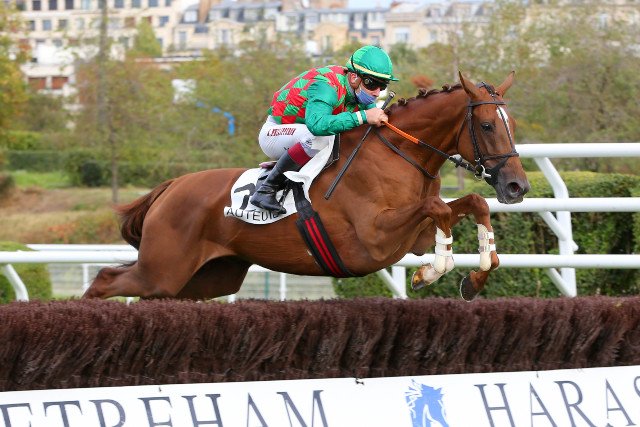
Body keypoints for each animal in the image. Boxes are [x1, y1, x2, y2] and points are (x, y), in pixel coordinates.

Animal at [83, 72, 530, 301]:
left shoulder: (412, 236)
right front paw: (431, 273)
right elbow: (439, 209)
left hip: (203, 279)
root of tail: (170, 186)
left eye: (511, 123)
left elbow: (471, 204)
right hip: (162, 270)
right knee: (104, 279)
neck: (398, 155)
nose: (516, 186)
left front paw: (474, 278)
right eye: (486, 126)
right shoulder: (373, 238)